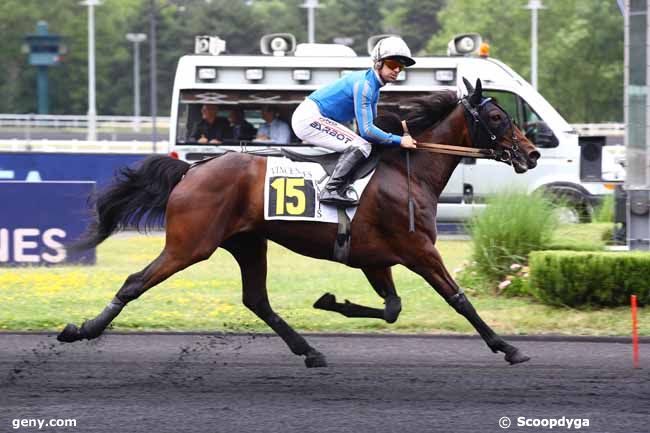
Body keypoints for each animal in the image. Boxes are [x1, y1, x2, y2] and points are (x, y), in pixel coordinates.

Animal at [59, 79, 536, 366]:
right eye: (497, 117)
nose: (531, 154)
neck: (407, 171)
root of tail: (192, 170)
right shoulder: (418, 250)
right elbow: (458, 299)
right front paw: (508, 347)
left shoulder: (375, 257)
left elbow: (392, 309)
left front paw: (330, 302)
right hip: (189, 244)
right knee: (135, 282)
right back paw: (80, 329)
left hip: (248, 243)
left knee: (257, 300)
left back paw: (309, 351)